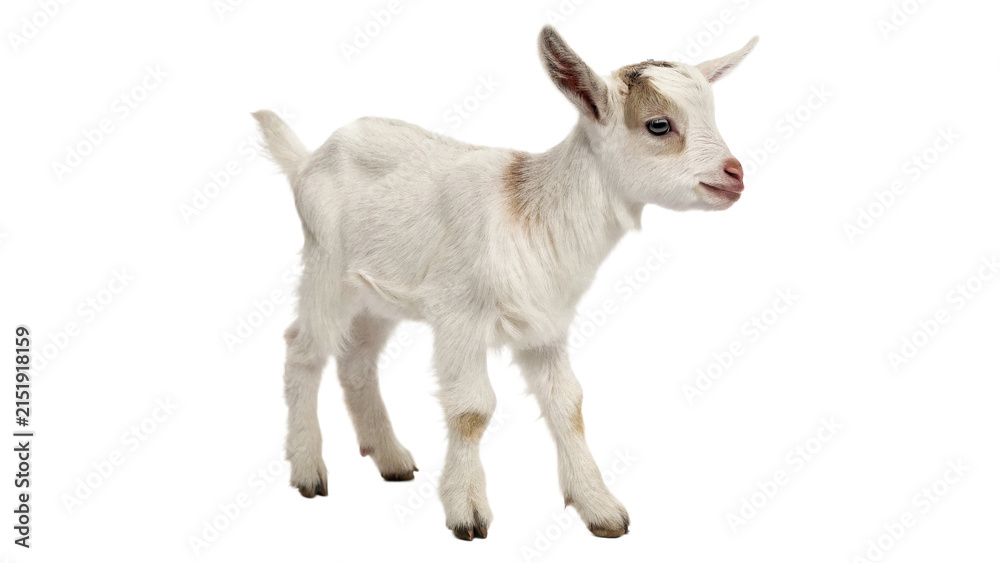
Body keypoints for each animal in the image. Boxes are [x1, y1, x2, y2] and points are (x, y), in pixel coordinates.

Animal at [253, 25, 757, 540]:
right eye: (659, 125)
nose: (735, 174)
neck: (534, 210)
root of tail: (310, 158)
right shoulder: (458, 318)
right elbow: (472, 410)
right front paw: (468, 511)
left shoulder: (545, 327)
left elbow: (568, 404)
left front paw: (599, 508)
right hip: (326, 268)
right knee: (303, 350)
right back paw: (308, 469)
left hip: (378, 295)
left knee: (357, 360)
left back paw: (391, 459)